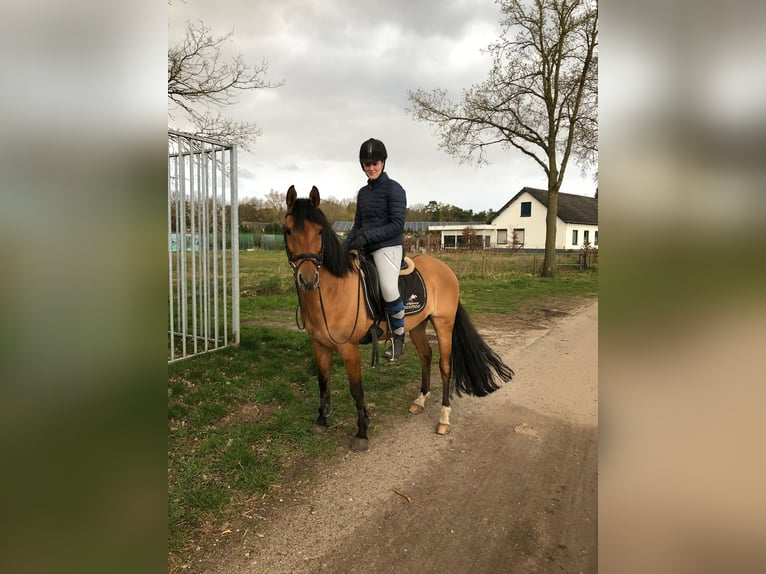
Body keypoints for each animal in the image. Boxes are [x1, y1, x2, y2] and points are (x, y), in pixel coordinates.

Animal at [284, 187, 516, 452]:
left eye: (320, 231)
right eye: (288, 230)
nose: (308, 279)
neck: (333, 291)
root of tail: (445, 269)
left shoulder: (349, 348)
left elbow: (356, 390)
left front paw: (362, 432)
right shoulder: (320, 346)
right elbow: (323, 382)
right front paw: (321, 420)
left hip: (443, 324)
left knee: (444, 366)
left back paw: (444, 419)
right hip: (417, 326)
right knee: (426, 356)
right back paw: (420, 400)